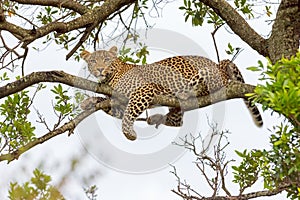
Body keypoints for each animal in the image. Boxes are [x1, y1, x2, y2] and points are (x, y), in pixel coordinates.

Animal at [81, 46, 264, 141]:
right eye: (93, 61)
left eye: (106, 60)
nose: (99, 69)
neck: (109, 80)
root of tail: (220, 65)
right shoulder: (118, 103)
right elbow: (112, 106)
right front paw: (89, 102)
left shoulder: (145, 89)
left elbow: (129, 113)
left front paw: (128, 132)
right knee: (178, 121)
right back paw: (158, 117)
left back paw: (181, 95)